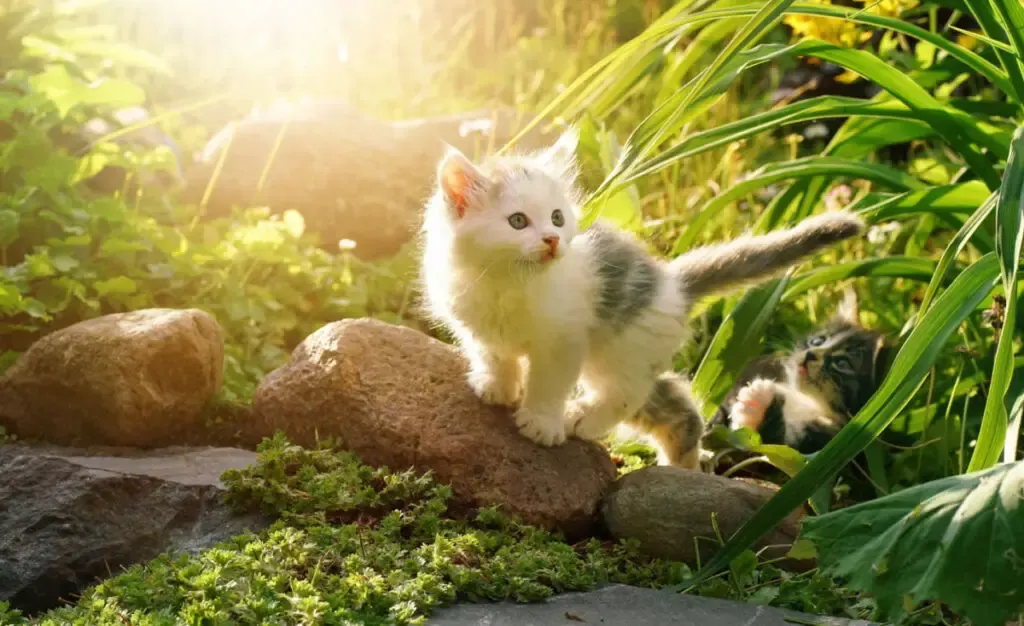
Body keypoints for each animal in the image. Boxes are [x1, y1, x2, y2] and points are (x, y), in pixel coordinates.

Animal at [417, 127, 864, 467]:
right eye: (517, 221)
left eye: (557, 218)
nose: (552, 240)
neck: (507, 282)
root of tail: (672, 282)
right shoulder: (475, 322)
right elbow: (493, 353)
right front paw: (496, 385)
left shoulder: (565, 340)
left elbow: (549, 382)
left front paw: (542, 421)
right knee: (676, 404)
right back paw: (681, 466)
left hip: (617, 349)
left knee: (626, 396)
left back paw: (585, 419)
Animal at [716, 290, 892, 452]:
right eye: (818, 341)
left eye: (842, 363)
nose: (810, 354)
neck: (804, 400)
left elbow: (771, 446)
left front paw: (757, 407)